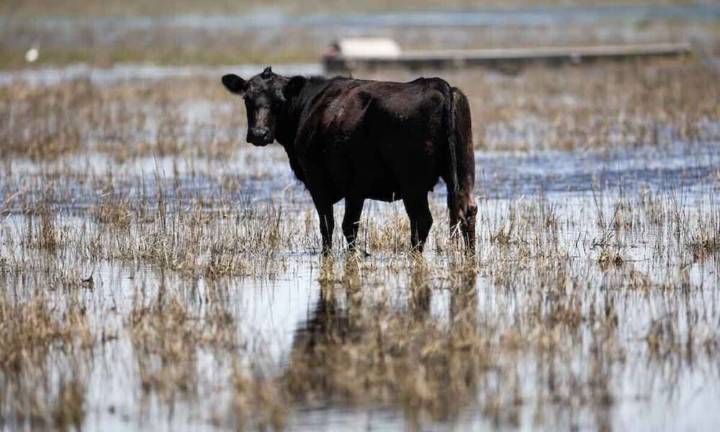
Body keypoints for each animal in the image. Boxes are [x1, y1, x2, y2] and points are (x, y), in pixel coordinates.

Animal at [221, 66, 477, 254]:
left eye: (279, 100)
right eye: (247, 99)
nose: (259, 134)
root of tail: (438, 84)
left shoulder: (318, 180)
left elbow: (329, 225)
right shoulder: (356, 187)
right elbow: (350, 226)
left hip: (412, 183)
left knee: (422, 220)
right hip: (463, 172)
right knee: (467, 211)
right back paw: (469, 256)